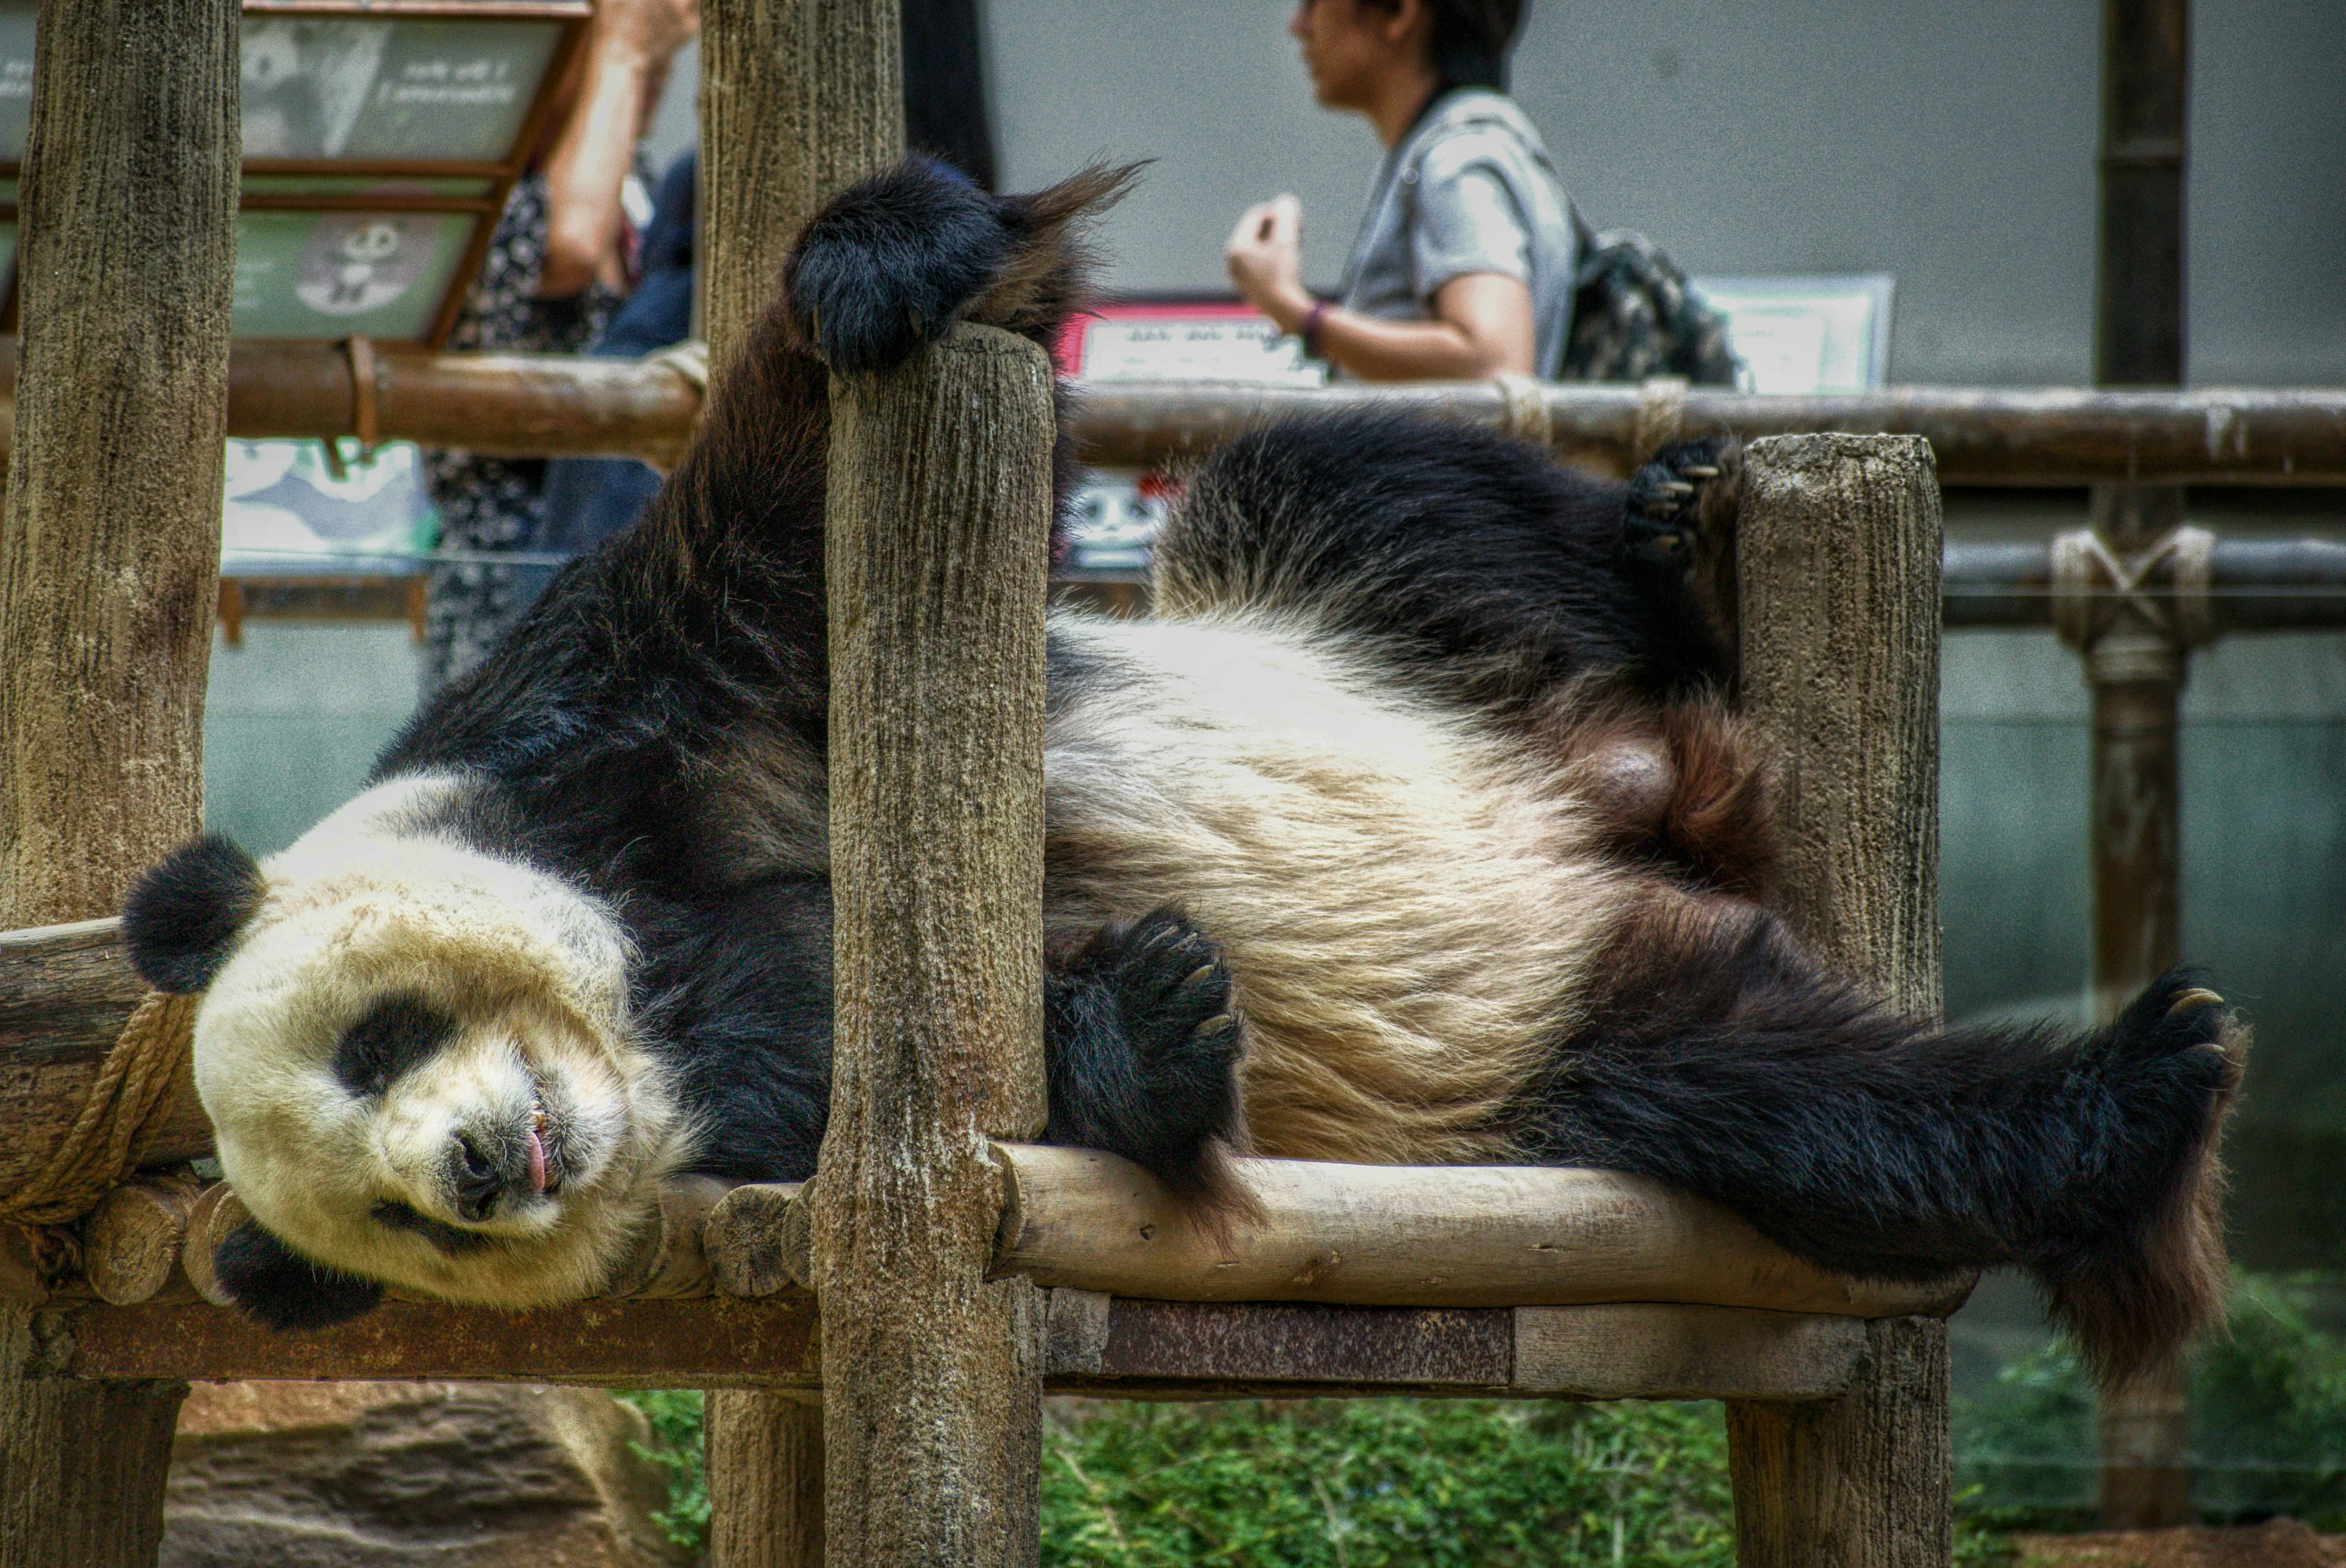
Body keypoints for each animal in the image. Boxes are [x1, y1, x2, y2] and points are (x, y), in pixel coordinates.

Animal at [121, 157, 2242, 1391]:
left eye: (379, 1038)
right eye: (386, 1220)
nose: (485, 1167)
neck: (650, 1005)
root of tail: (1649, 798)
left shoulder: (588, 720)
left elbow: (772, 513)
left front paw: (884, 264)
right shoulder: (761, 1140)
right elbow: (984, 1085)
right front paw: (1148, 1023)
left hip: (1367, 618)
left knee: (1352, 484)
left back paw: (1677, 526)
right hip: (1563, 1059)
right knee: (1793, 1102)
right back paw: (2120, 1103)